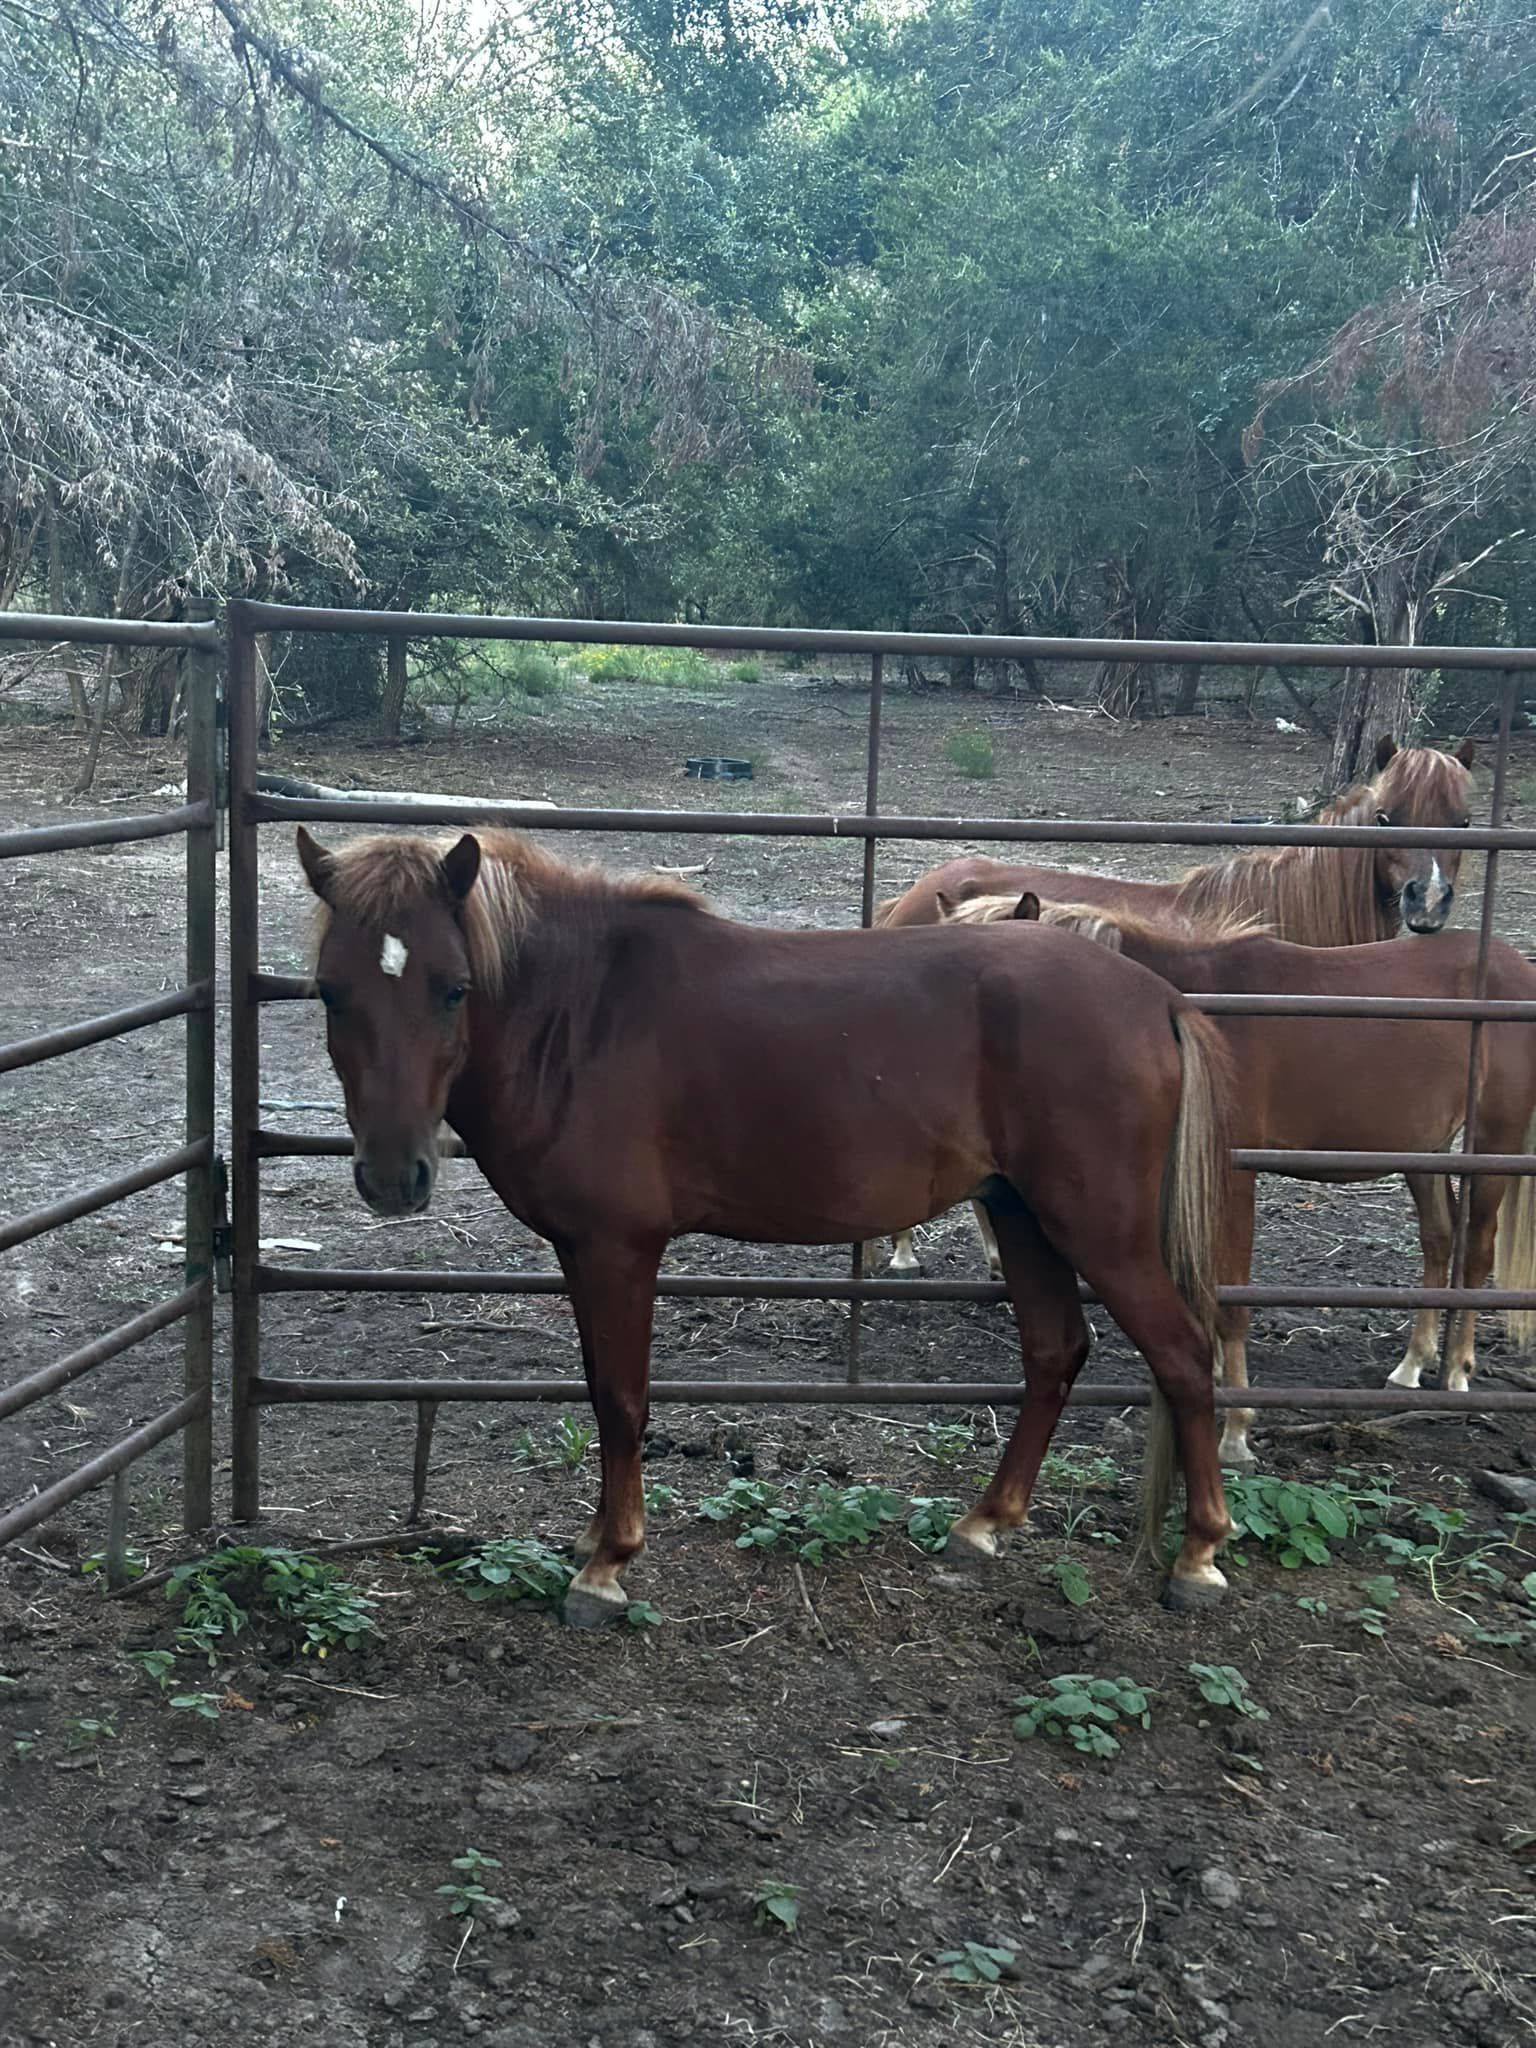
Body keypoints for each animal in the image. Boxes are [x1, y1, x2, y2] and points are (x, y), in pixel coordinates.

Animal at [295, 825, 1238, 1622]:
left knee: (1182, 1359)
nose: (393, 1177)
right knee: (1055, 1353)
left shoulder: (617, 1250)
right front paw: (596, 1538)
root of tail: (1157, 998)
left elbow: (621, 1399)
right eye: (330, 994)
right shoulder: (582, 1251)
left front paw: (607, 1567)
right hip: (1021, 1216)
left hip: (1096, 1229)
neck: (580, 1016)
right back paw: (984, 1523)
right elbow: (601, 1389)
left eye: (453, 989)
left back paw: (1197, 1558)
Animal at [940, 891, 1536, 1468]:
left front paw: (1236, 1432)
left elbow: (1229, 1304)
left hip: (1492, 1141)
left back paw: (1456, 1371)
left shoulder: (1230, 1176)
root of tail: (1513, 965)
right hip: (1424, 1151)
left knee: (1476, 1248)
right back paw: (1412, 1364)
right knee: (1439, 1240)